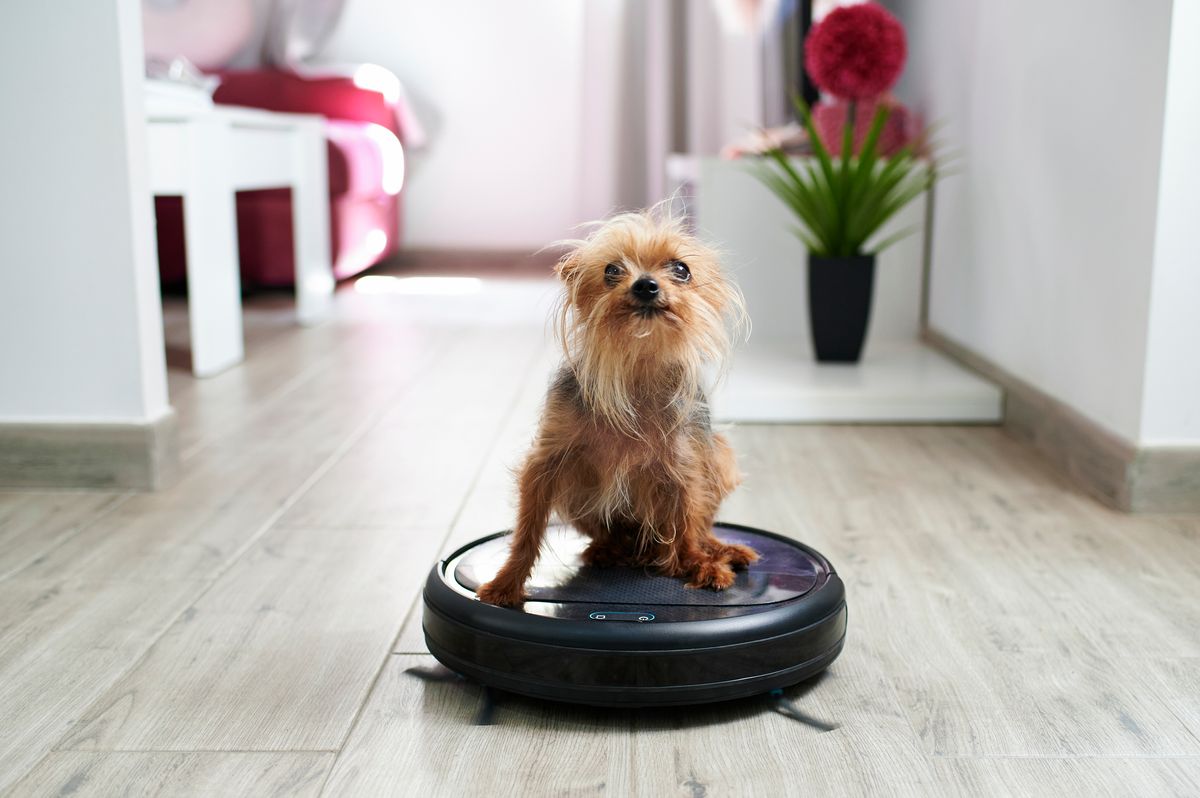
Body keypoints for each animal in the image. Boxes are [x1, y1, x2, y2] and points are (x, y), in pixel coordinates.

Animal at [472, 204, 753, 604]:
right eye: (611, 271)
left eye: (681, 269)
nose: (646, 285)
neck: (636, 364)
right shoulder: (547, 462)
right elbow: (527, 530)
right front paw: (506, 583)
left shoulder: (684, 468)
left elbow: (686, 521)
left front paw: (699, 563)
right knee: (612, 534)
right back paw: (609, 550)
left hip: (720, 457)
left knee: (698, 526)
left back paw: (719, 550)